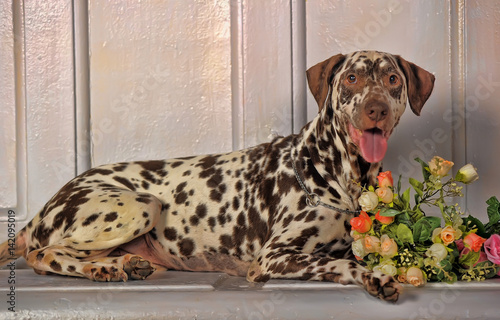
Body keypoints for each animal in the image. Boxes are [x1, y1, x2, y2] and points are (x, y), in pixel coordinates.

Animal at [0, 51, 434, 302]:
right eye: (351, 79)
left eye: (393, 80)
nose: (376, 109)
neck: (339, 174)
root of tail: (42, 210)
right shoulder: (274, 257)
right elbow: (340, 265)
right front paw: (373, 277)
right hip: (142, 205)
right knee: (42, 254)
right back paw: (101, 268)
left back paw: (120, 265)